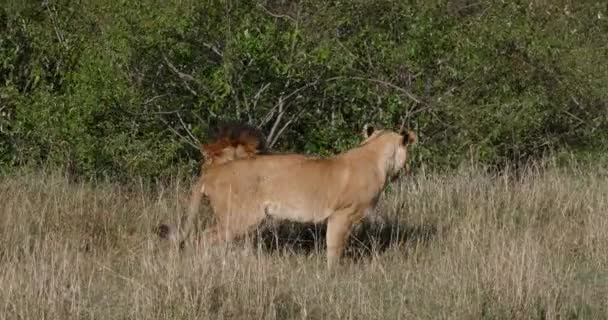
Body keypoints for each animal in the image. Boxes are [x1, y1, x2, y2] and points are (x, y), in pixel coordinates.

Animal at [164, 124, 416, 268]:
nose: (408, 168)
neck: (374, 155)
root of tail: (211, 172)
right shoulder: (341, 215)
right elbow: (334, 249)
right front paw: (332, 276)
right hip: (239, 218)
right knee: (201, 239)